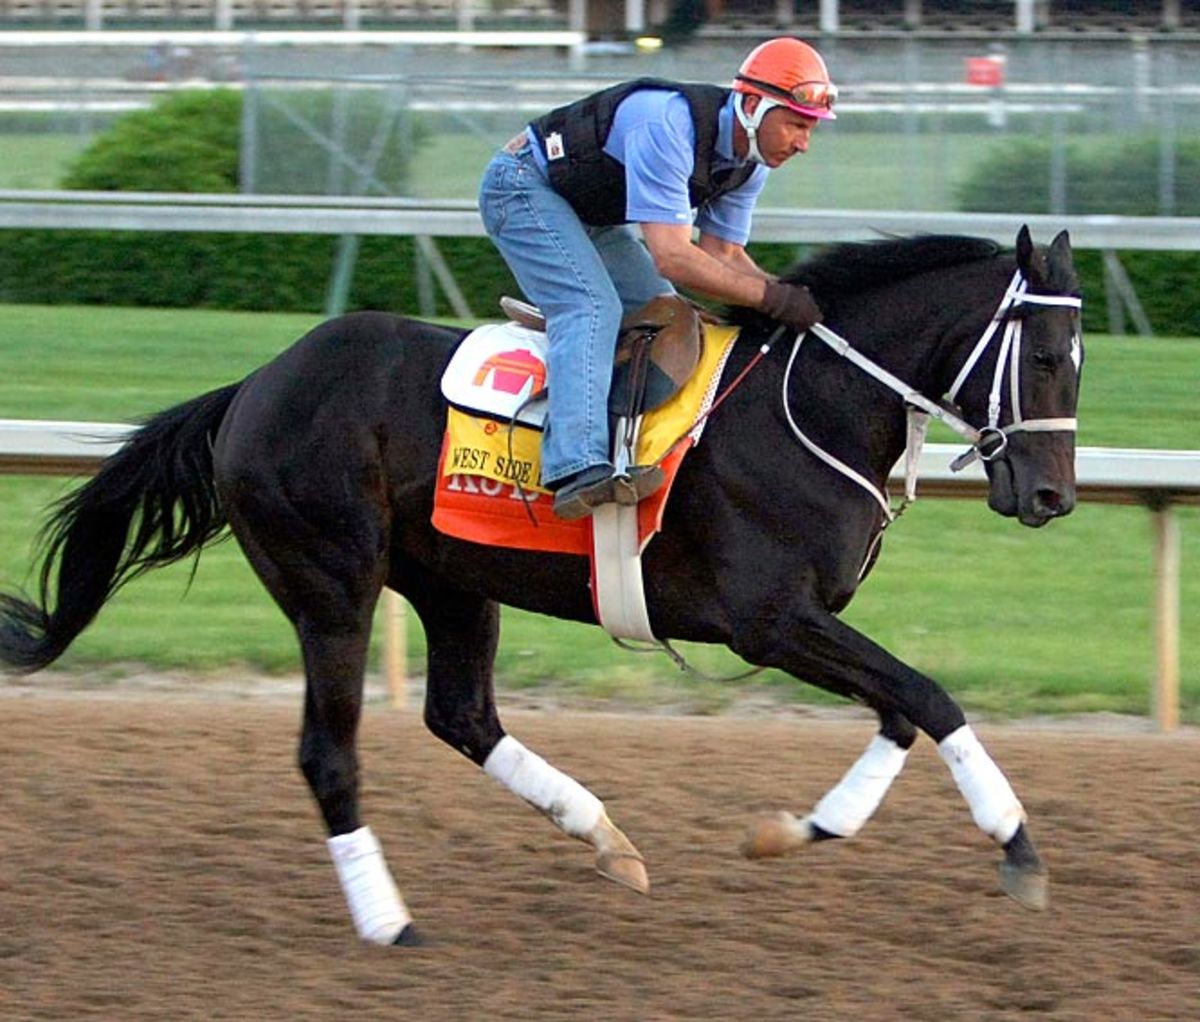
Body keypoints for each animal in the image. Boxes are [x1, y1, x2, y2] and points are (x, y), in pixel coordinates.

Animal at [0, 227, 1084, 945]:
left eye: (1079, 360)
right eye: (1040, 355)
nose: (1053, 495)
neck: (808, 405)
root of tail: (253, 386)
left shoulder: (806, 621)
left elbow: (900, 708)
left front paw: (799, 828)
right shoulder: (770, 618)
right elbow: (930, 697)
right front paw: (1018, 848)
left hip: (450, 580)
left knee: (462, 715)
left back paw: (605, 836)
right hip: (331, 582)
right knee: (329, 753)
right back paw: (389, 920)